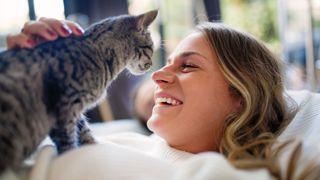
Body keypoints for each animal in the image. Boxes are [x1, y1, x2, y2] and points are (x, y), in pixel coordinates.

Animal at [0, 9, 156, 172]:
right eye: (151, 48)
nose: (152, 64)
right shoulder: (64, 106)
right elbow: (68, 140)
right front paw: (71, 156)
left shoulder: (75, 108)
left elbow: (83, 129)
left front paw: (92, 145)